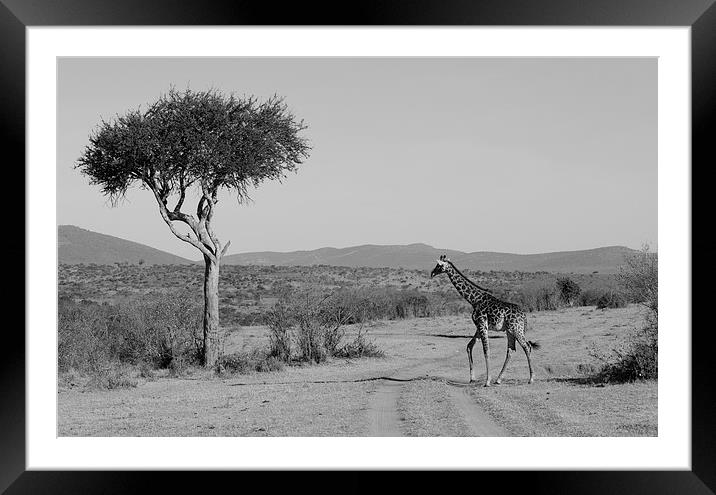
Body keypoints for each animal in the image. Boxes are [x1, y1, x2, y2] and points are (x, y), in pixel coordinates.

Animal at [428, 256, 540, 388]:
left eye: (439, 265)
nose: (432, 273)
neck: (474, 300)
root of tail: (524, 316)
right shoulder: (478, 326)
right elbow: (469, 346)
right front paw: (472, 378)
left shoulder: (482, 325)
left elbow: (486, 351)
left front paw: (487, 381)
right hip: (510, 330)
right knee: (511, 350)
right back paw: (498, 379)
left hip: (516, 329)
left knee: (526, 346)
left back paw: (531, 379)